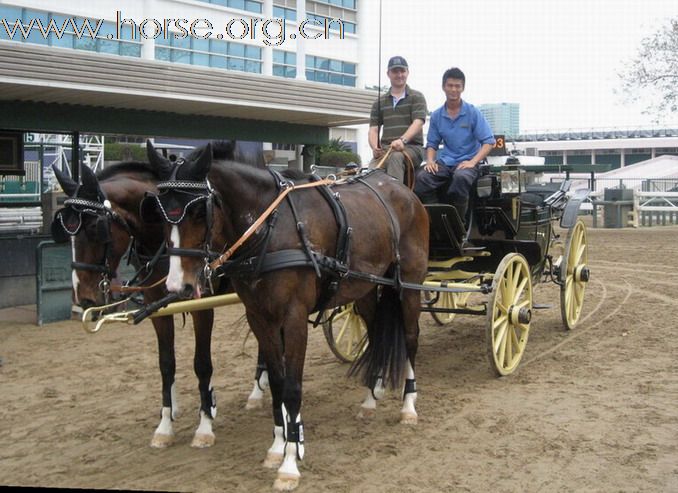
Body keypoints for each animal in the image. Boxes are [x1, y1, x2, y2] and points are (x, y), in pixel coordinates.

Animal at [50, 140, 270, 448]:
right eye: (65, 232)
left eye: (95, 228)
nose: (85, 298)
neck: (163, 245)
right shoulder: (157, 306)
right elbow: (166, 364)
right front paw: (166, 423)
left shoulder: (203, 305)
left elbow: (202, 364)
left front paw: (205, 424)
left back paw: (257, 391)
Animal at [143, 141, 430, 488]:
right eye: (159, 213)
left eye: (200, 212)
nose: (177, 285)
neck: (270, 228)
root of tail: (404, 191)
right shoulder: (260, 317)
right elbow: (278, 383)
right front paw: (278, 446)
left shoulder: (293, 318)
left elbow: (292, 388)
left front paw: (291, 462)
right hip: (364, 288)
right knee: (375, 334)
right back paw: (371, 399)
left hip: (409, 283)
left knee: (411, 338)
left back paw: (408, 406)